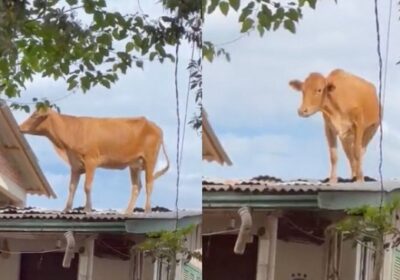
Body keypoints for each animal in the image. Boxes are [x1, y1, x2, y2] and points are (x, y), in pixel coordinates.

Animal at [19, 108, 169, 213]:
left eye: (34, 115)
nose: (20, 127)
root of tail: (155, 126)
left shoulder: (91, 161)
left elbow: (87, 186)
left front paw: (87, 209)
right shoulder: (75, 165)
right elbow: (72, 187)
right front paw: (66, 209)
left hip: (150, 159)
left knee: (149, 184)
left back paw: (147, 210)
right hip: (134, 164)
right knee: (137, 186)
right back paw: (127, 211)